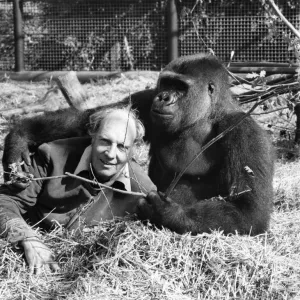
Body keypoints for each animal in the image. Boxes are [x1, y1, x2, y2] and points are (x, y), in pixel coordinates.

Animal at [1, 54, 274, 237]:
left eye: (180, 87)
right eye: (166, 84)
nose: (163, 97)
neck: (205, 116)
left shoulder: (244, 132)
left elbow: (249, 211)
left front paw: (166, 213)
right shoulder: (145, 100)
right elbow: (89, 120)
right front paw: (19, 138)